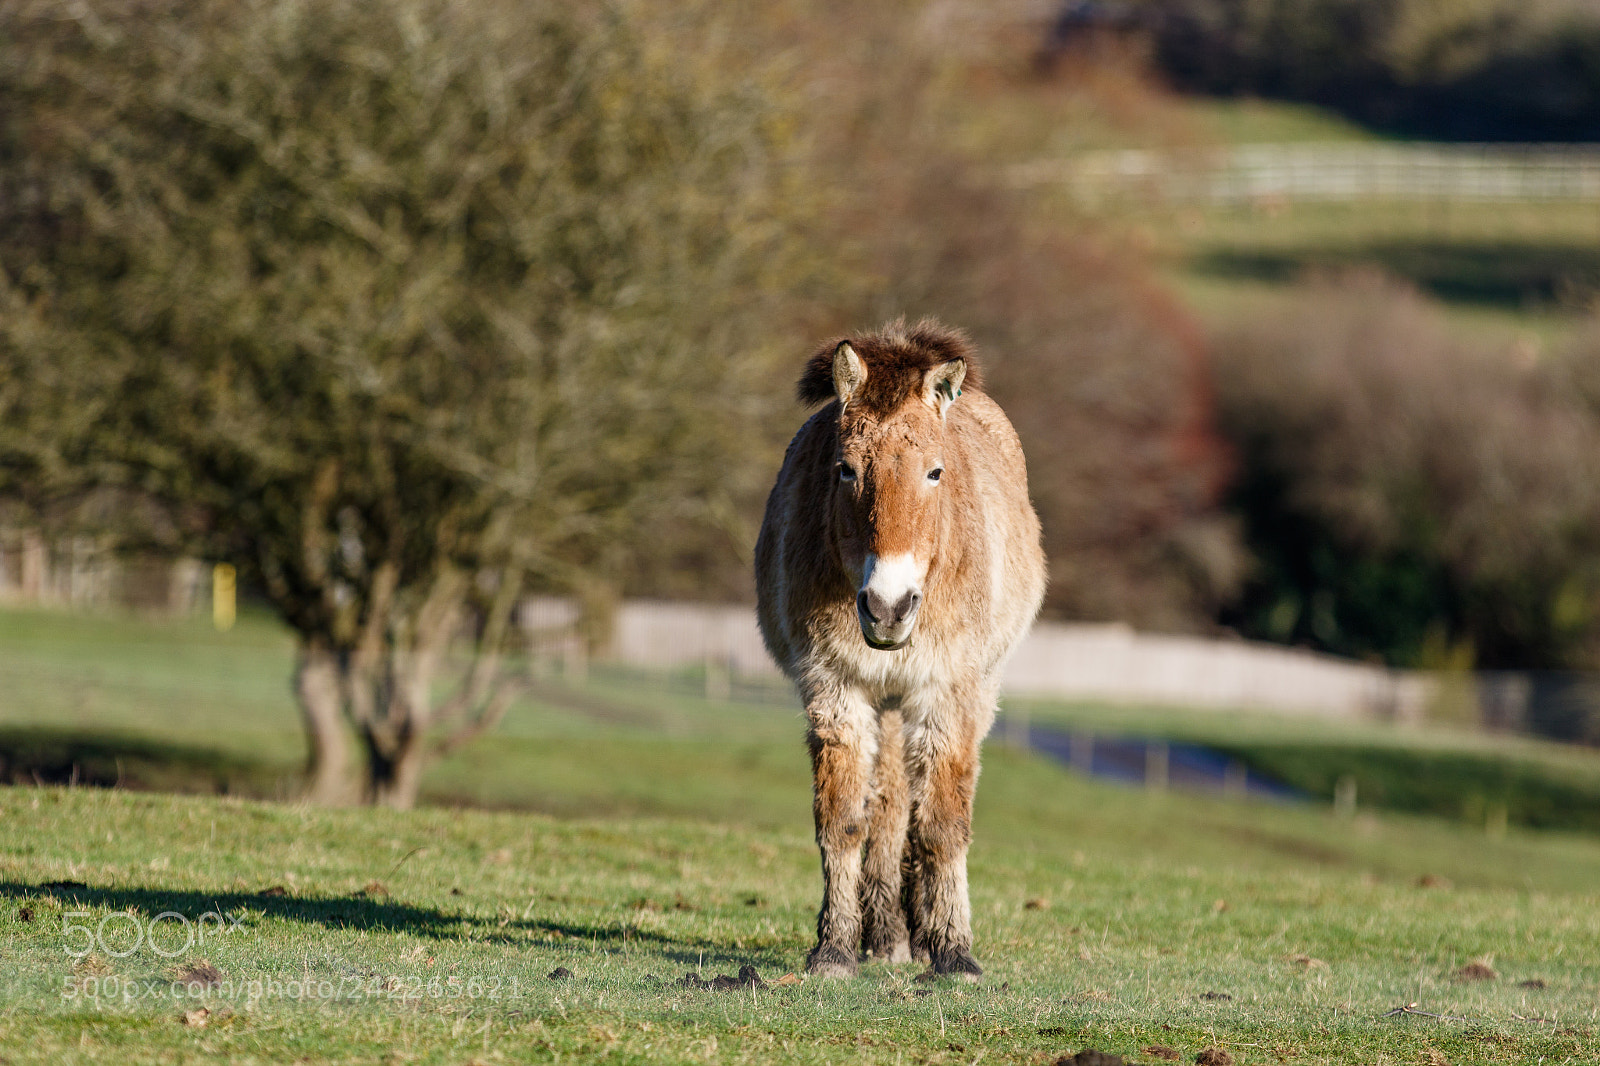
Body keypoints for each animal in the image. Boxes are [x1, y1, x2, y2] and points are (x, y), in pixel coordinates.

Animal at [755, 319, 1046, 980]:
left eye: (934, 473)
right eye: (844, 469)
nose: (888, 607)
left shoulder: (947, 692)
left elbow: (942, 823)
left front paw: (953, 952)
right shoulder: (835, 689)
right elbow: (843, 821)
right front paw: (836, 948)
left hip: (964, 693)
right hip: (884, 706)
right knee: (887, 809)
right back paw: (888, 933)